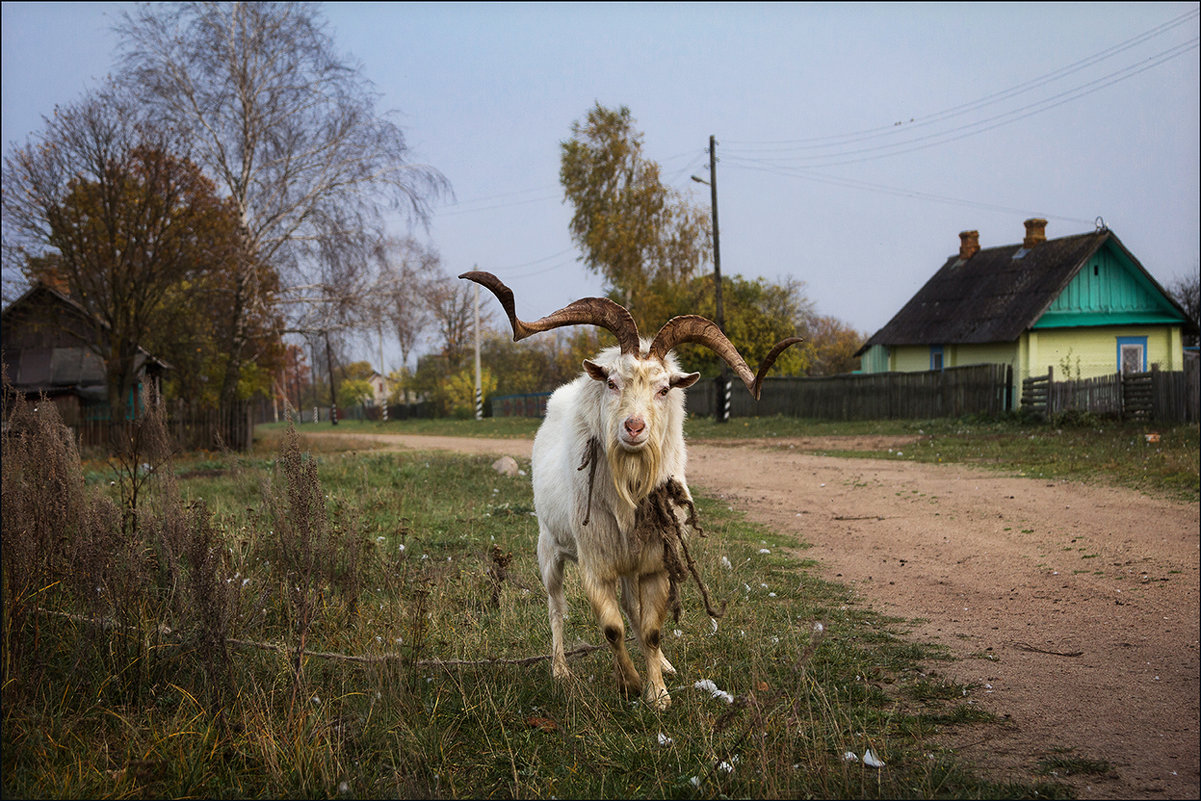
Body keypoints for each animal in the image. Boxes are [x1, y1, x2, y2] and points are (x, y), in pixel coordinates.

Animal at [463, 272, 802, 710]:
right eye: (612, 382)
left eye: (664, 389)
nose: (634, 428)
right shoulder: (596, 566)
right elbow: (611, 629)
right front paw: (631, 685)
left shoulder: (655, 563)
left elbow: (651, 627)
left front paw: (659, 693)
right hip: (549, 550)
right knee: (556, 607)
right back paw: (560, 670)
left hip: (628, 566)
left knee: (631, 609)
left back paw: (664, 665)